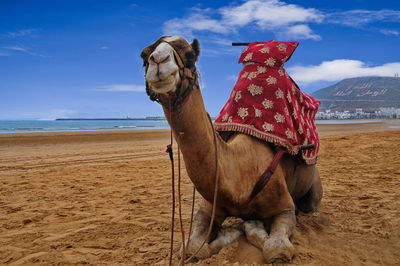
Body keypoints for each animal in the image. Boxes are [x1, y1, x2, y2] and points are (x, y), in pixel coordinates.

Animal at [141, 36, 322, 262]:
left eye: (190, 55)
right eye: (144, 55)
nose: (158, 60)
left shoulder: (285, 208)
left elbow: (276, 249)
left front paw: (250, 225)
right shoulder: (209, 207)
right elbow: (191, 248)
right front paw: (233, 230)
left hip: (313, 192)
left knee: (309, 207)